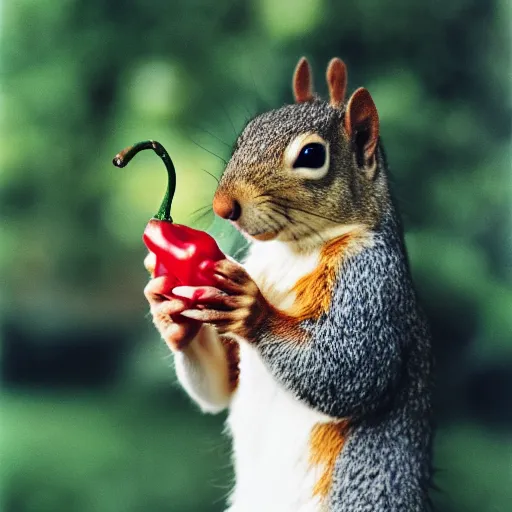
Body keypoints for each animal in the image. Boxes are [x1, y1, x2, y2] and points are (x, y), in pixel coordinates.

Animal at [143, 57, 432, 512]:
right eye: (246, 132)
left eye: (312, 154)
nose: (223, 207)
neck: (293, 251)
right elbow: (220, 387)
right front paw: (167, 311)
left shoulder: (373, 285)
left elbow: (355, 371)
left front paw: (251, 309)